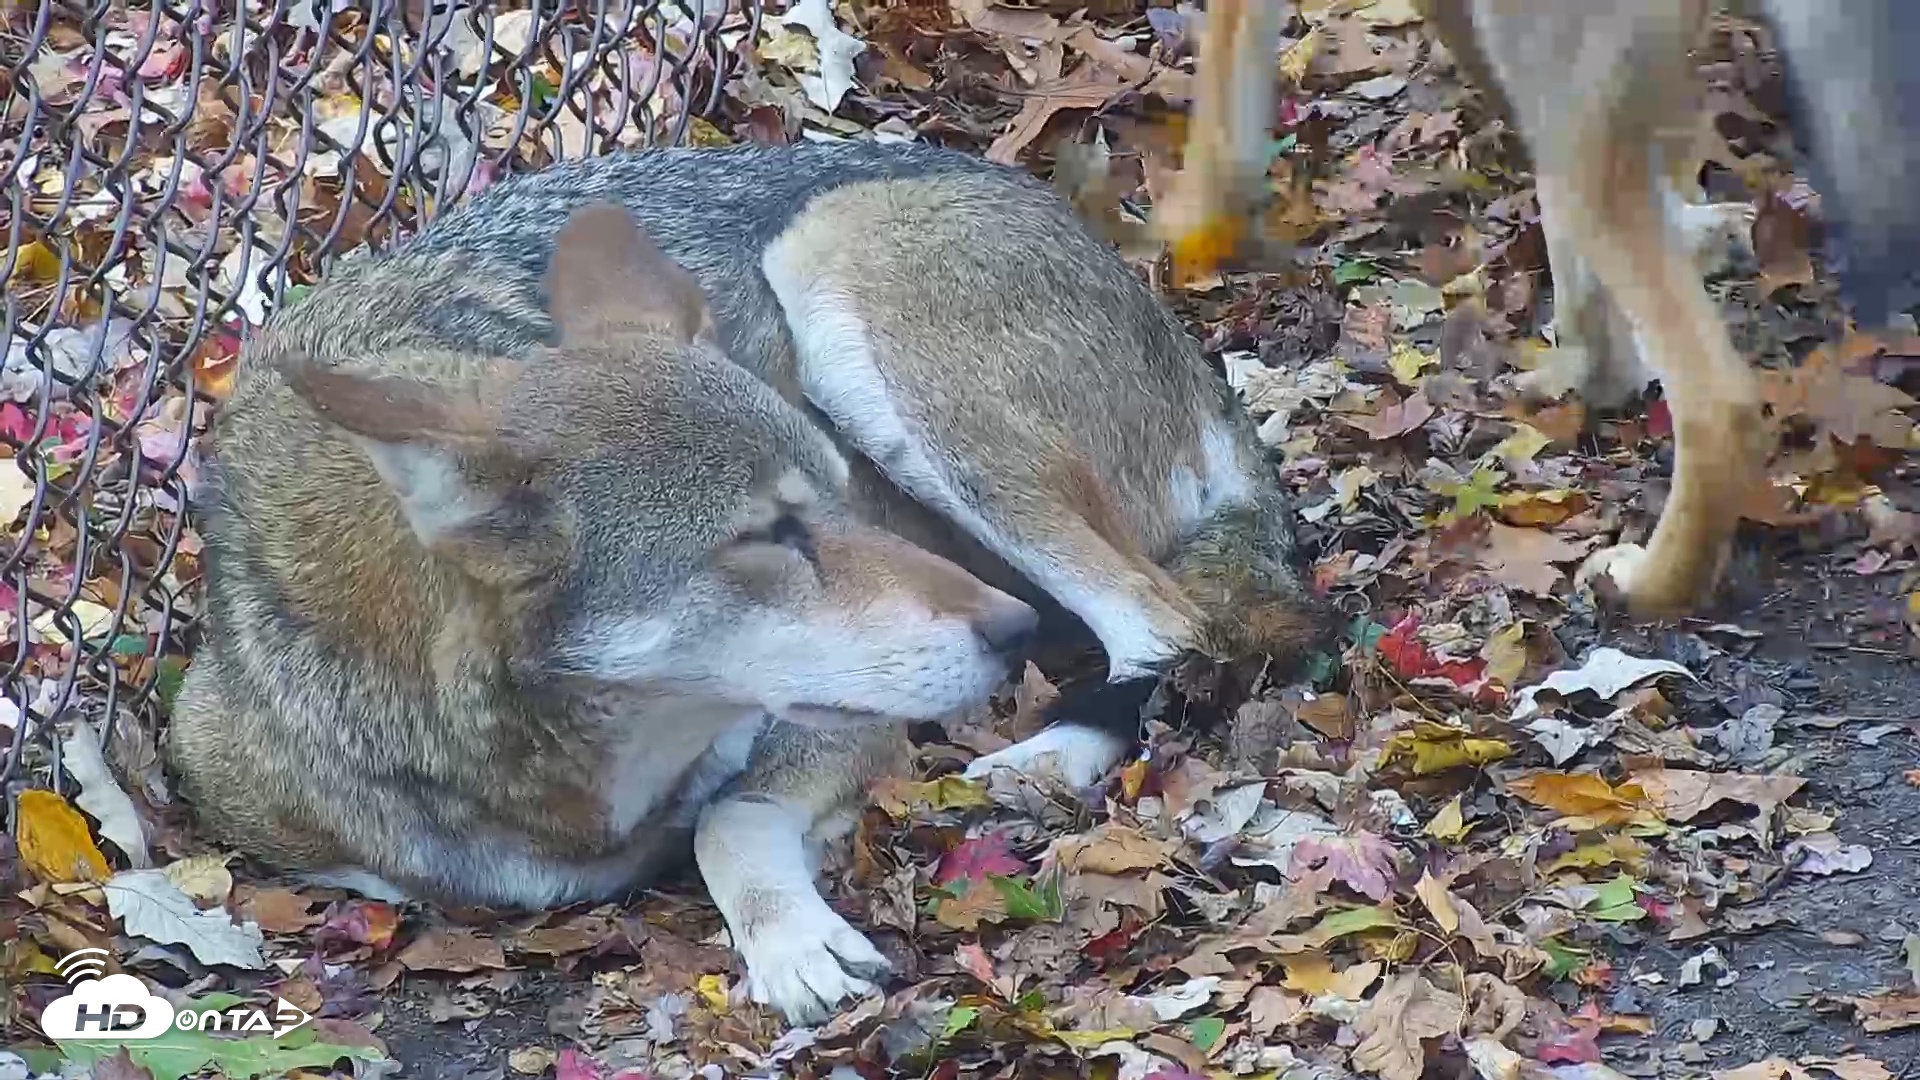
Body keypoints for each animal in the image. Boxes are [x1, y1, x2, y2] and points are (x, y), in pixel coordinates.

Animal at [168, 141, 1325, 1025]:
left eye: (833, 500)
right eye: (764, 536)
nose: (1008, 634)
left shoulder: (845, 726)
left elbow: (724, 820)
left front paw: (795, 945)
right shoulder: (215, 760)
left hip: (846, 309)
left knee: (1166, 622)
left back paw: (1034, 759)